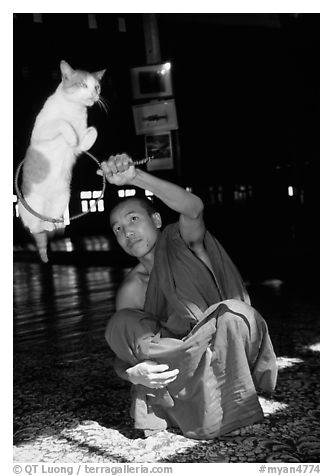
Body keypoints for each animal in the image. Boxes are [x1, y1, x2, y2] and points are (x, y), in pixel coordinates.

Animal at [17, 60, 105, 264]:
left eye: (97, 87)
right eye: (82, 85)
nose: (94, 94)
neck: (73, 110)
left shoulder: (80, 146)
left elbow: (93, 131)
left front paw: (83, 134)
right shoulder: (42, 133)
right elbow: (61, 123)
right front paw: (70, 135)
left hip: (62, 199)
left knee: (48, 222)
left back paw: (55, 225)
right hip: (32, 205)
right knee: (35, 228)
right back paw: (43, 226)